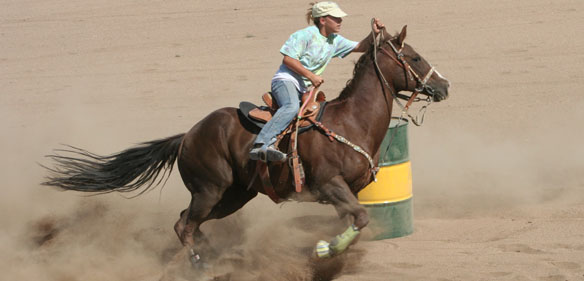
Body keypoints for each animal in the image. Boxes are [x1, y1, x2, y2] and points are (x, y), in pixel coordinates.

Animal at [43, 25, 450, 266]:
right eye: (413, 57)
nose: (443, 85)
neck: (351, 120)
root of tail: (187, 135)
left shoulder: (347, 192)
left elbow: (358, 220)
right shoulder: (329, 185)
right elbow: (362, 217)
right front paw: (324, 249)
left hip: (234, 196)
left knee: (186, 223)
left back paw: (214, 257)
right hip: (209, 190)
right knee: (185, 226)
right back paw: (199, 264)